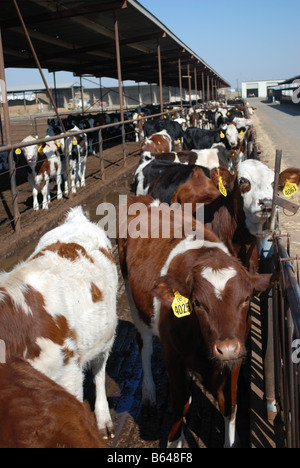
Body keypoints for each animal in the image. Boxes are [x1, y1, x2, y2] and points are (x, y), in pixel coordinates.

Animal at [118, 196, 274, 448]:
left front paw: (233, 440)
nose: (226, 348)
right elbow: (180, 403)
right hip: (134, 303)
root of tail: (144, 200)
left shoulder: (237, 357)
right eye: (197, 302)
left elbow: (230, 405)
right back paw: (149, 396)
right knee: (144, 347)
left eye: (247, 299)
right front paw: (174, 442)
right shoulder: (172, 354)